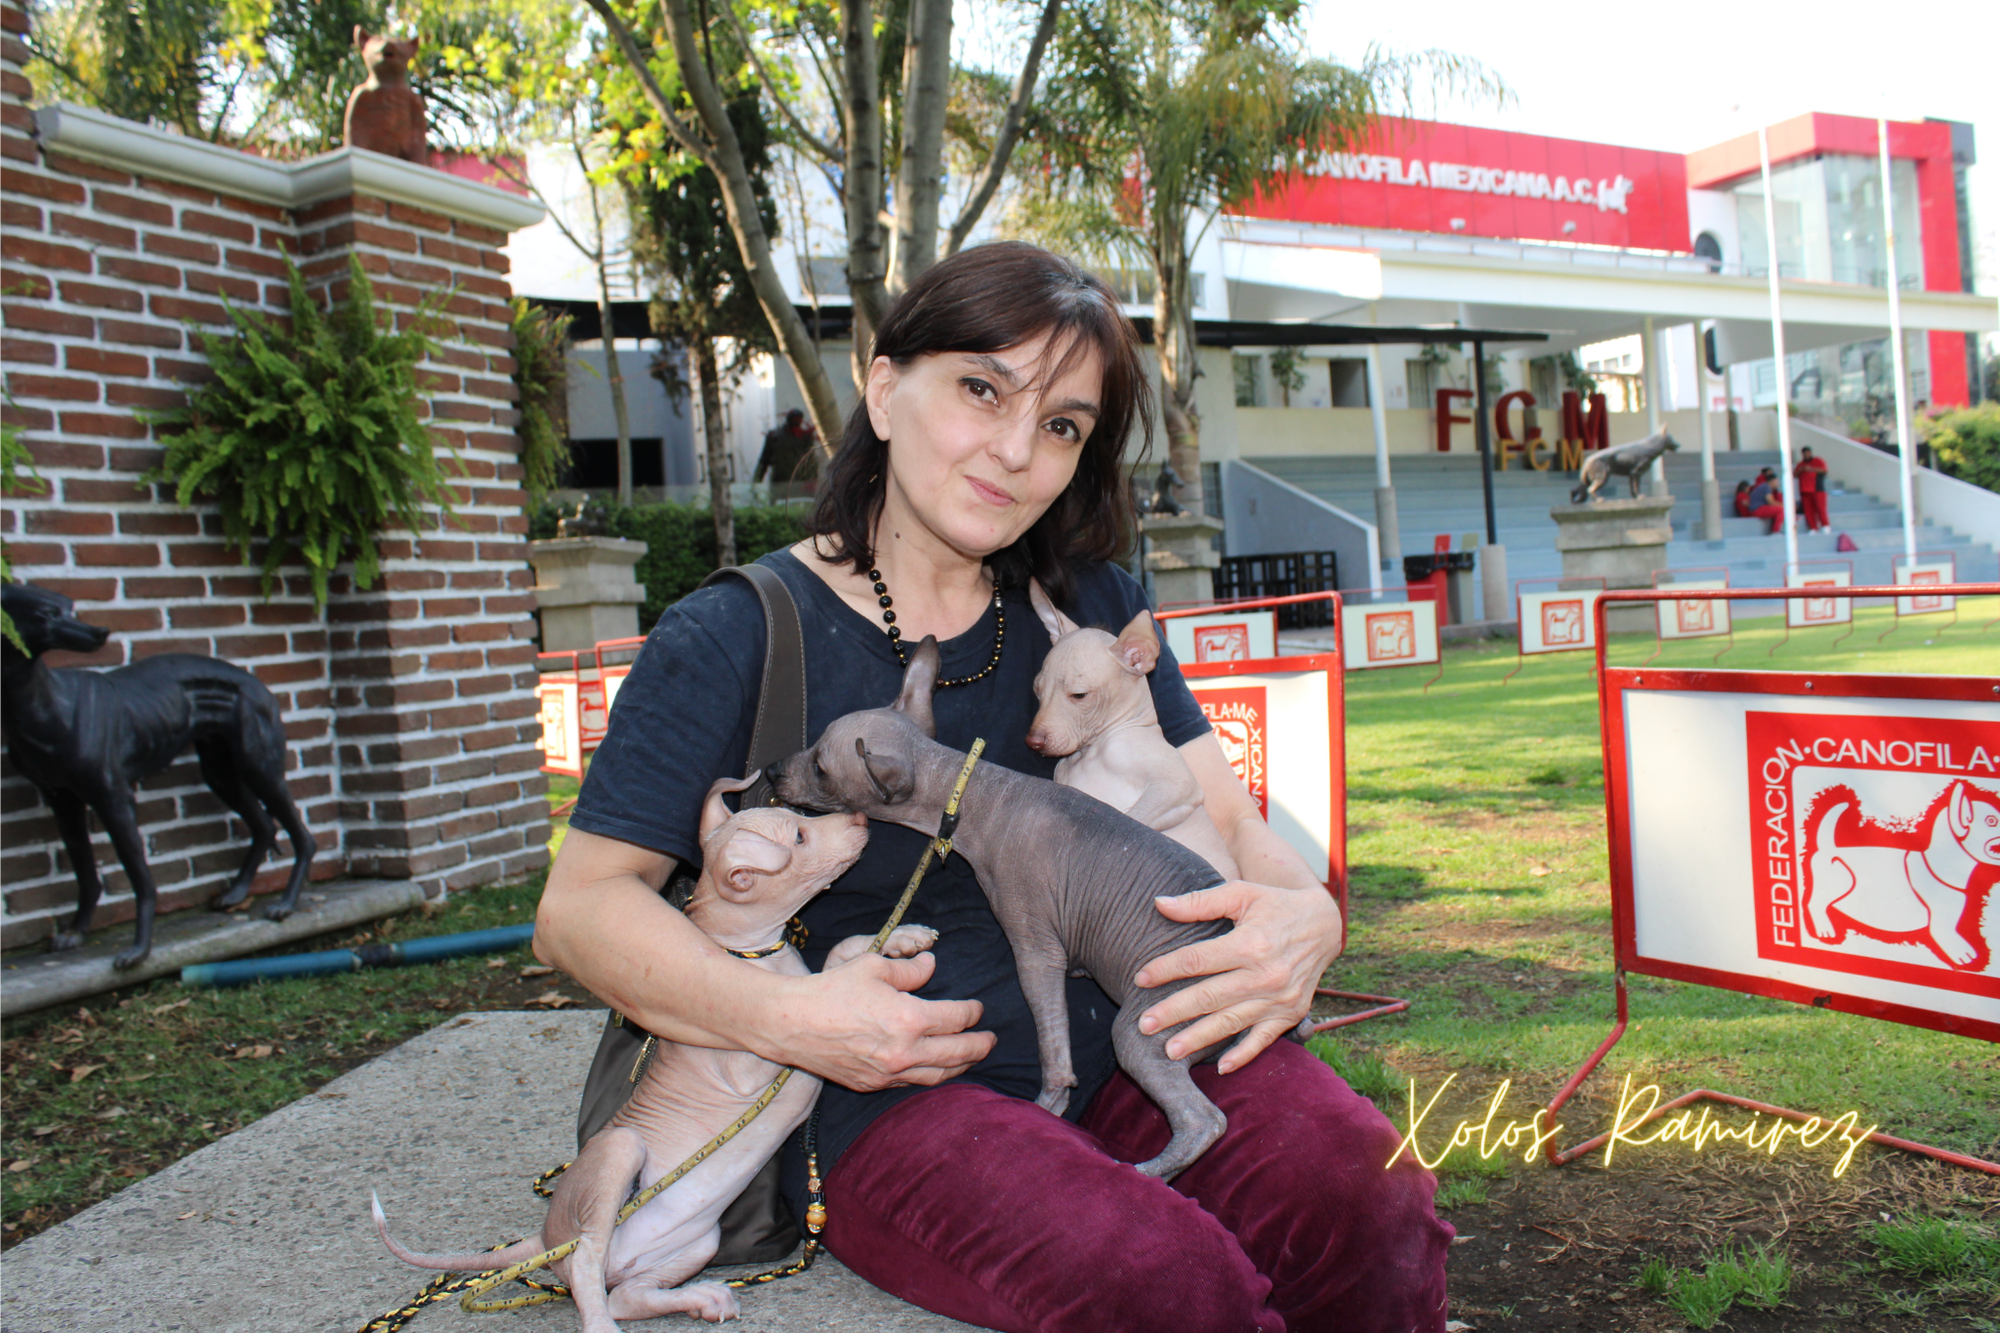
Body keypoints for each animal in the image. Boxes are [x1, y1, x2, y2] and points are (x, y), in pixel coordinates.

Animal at [372, 772, 932, 1320]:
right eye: (798, 836)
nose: (860, 817)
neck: (755, 954)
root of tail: (548, 1234)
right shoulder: (756, 1058)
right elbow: (820, 989)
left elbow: (842, 952)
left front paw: (904, 936)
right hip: (621, 1156)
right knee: (589, 1276)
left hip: (696, 1243)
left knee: (625, 1294)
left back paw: (700, 1300)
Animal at [768, 636, 1312, 1176]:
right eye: (812, 748)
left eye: (820, 768)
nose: (772, 771)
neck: (977, 793)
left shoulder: (1035, 946)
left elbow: (1054, 1047)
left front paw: (1049, 1103)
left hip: (1151, 1022)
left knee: (1205, 1121)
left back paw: (1147, 1170)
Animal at [1024, 584, 1240, 880]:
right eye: (1037, 690)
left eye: (1079, 695)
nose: (1032, 741)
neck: (1091, 751)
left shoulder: (1179, 785)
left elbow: (1130, 819)